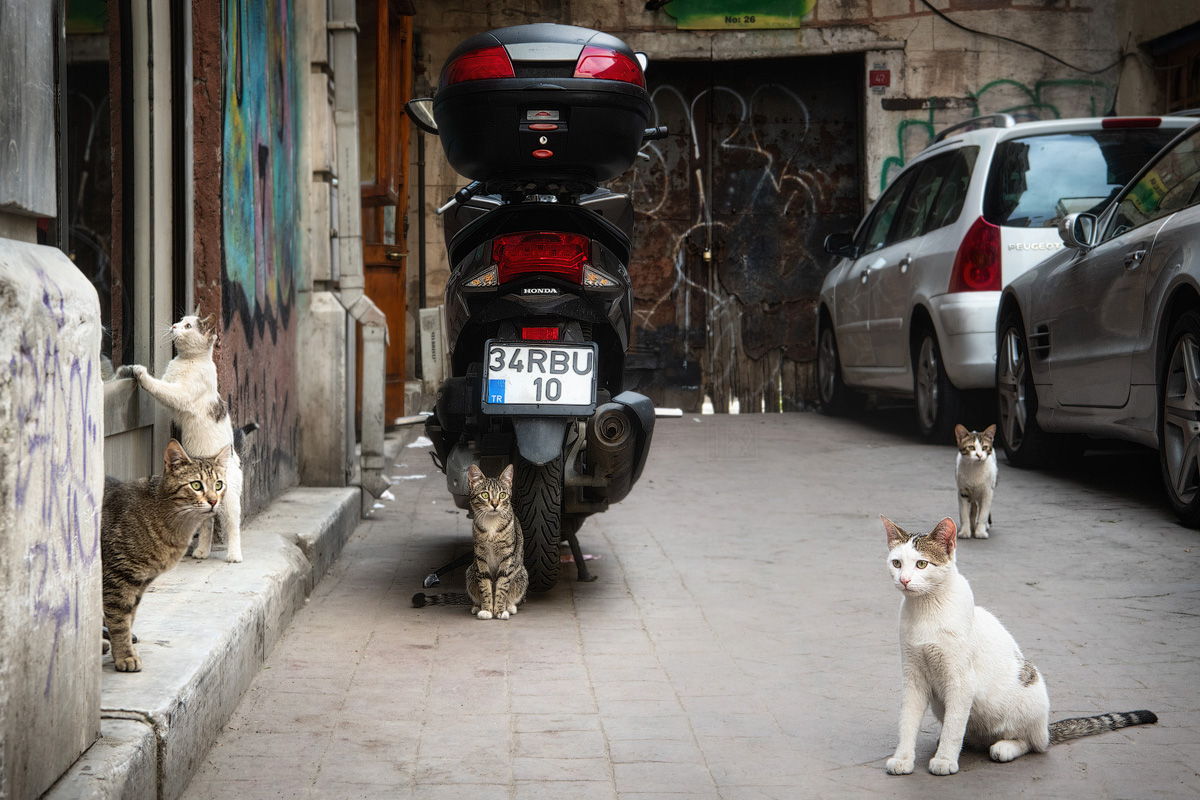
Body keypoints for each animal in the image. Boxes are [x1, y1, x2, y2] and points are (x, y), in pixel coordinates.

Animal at [103, 441, 229, 671]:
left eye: (218, 485)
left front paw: (120, 653)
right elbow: (119, 621)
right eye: (196, 485)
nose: (214, 501)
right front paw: (125, 655)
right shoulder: (117, 576)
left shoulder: (139, 582)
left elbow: (129, 618)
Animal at [118, 311, 247, 563]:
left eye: (188, 326)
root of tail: (234, 458)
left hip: (227, 500)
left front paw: (140, 373)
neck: (188, 360)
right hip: (206, 497)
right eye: (180, 320)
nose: (174, 327)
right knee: (206, 521)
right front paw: (125, 370)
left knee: (231, 525)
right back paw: (201, 551)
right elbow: (162, 383)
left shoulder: (180, 394)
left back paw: (234, 554)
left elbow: (159, 387)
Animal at [412, 462, 525, 618]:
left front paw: (500, 610)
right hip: (471, 572)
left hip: (521, 575)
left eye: (502, 495)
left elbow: (502, 586)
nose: (495, 504)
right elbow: (485, 585)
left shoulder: (507, 556)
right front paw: (487, 610)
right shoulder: (481, 557)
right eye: (485, 494)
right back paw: (477, 606)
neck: (492, 524)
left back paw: (510, 606)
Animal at [883, 515, 1152, 777]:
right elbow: (908, 721)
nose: (904, 580)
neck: (926, 612)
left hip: (1031, 694)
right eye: (896, 563)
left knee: (1032, 744)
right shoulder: (913, 677)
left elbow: (954, 726)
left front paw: (945, 760)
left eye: (922, 564)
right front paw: (903, 759)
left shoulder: (961, 682)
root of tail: (1045, 729)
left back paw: (1004, 747)